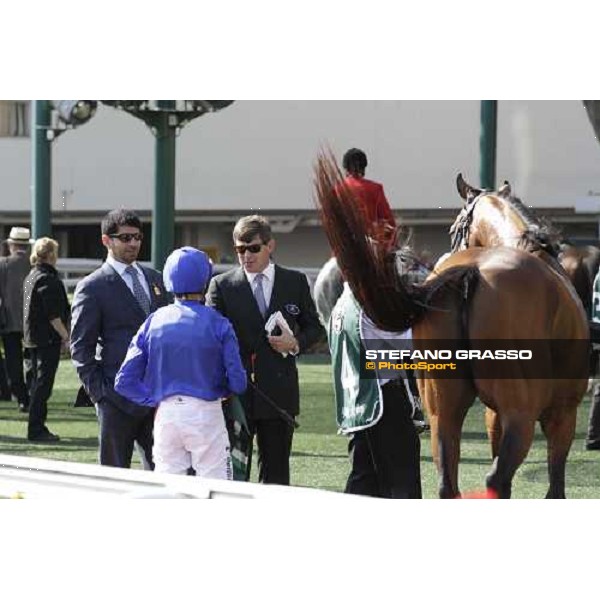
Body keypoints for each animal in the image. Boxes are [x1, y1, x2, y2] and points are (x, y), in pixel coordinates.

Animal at [316, 152, 588, 500]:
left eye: (454, 228)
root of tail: (472, 270)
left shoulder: (492, 414)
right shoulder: (562, 414)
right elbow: (555, 488)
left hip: (442, 412)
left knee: (448, 483)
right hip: (521, 413)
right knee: (495, 479)